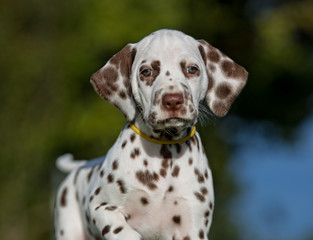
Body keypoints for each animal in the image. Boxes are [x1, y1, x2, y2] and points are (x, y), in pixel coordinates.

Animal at [54, 29, 247, 239]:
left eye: (192, 69)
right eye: (147, 72)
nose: (173, 100)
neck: (164, 153)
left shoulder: (192, 227)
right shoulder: (101, 206)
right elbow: (121, 230)